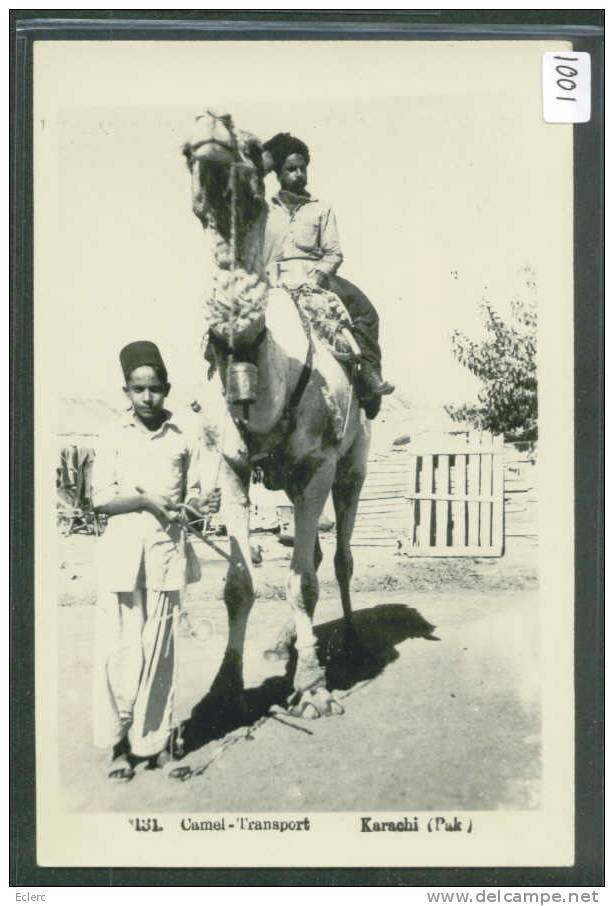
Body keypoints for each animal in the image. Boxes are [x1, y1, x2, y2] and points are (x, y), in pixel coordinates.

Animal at [184, 113, 370, 716]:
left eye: (247, 145)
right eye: (186, 150)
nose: (209, 130)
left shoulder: (318, 466)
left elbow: (305, 582)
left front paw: (312, 687)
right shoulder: (230, 468)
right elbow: (240, 582)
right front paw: (224, 688)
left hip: (351, 467)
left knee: (338, 557)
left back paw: (348, 641)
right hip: (289, 482)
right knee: (311, 553)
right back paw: (285, 645)